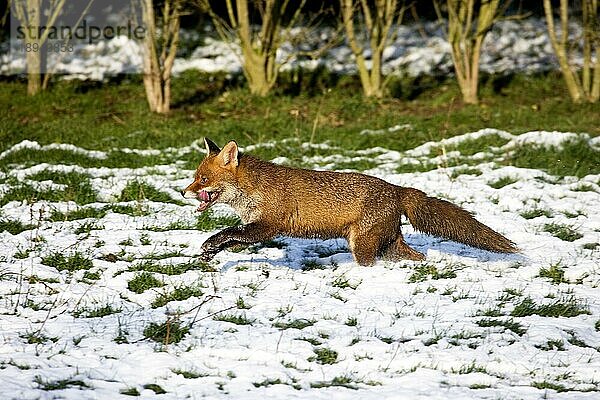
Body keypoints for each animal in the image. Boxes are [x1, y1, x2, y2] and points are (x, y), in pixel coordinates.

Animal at [180, 138, 516, 266]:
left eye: (203, 180)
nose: (183, 192)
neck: (253, 189)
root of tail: (396, 188)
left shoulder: (268, 226)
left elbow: (228, 233)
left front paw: (210, 245)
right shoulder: (255, 227)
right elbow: (230, 239)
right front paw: (210, 252)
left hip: (363, 245)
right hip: (390, 245)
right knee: (417, 257)